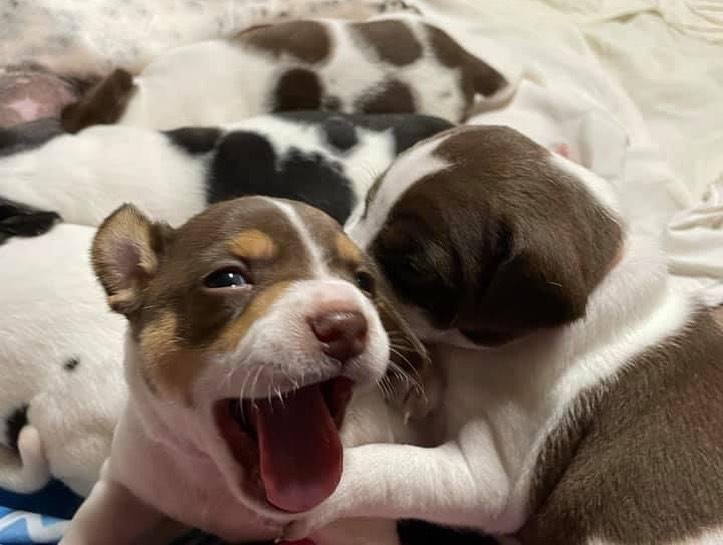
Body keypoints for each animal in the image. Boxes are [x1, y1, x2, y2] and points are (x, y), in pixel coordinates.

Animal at [62, 196, 428, 544]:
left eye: (364, 282)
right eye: (227, 278)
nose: (346, 325)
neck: (217, 480)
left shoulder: (358, 530)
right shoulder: (123, 485)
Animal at [286, 124, 723, 544]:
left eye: (411, 267)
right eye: (367, 204)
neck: (600, 277)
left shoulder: (488, 477)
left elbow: (386, 467)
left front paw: (316, 495)